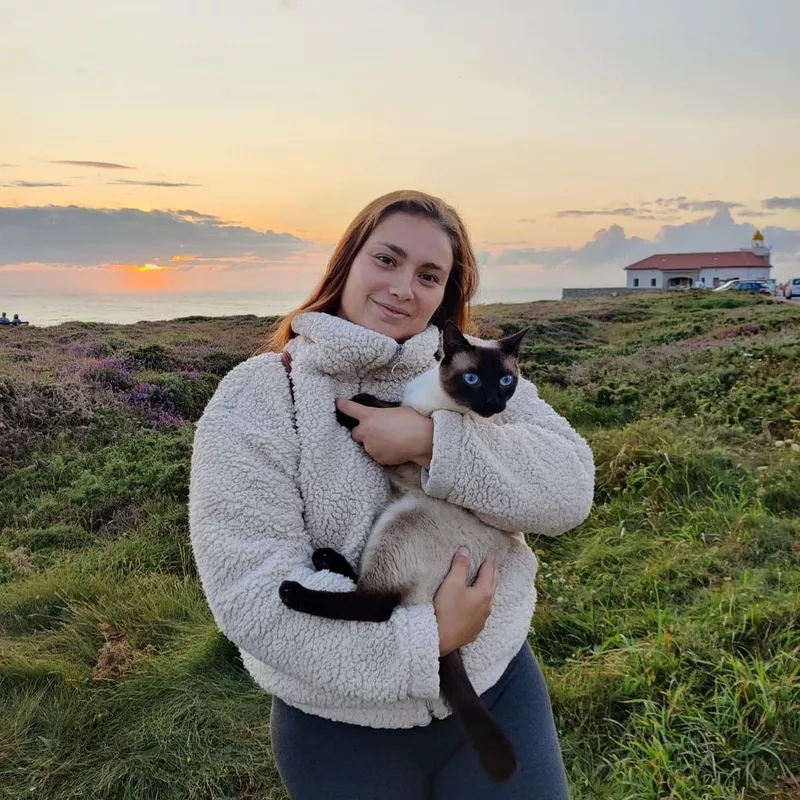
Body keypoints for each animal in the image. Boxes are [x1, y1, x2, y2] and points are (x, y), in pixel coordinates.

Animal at [282, 322, 532, 784]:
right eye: (474, 379)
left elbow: (379, 408)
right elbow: (387, 402)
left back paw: (292, 591)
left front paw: (348, 409)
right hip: (388, 519)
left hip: (404, 517)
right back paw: (326, 560)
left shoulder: (408, 453)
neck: (434, 400)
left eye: (506, 381)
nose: (493, 404)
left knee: (376, 604)